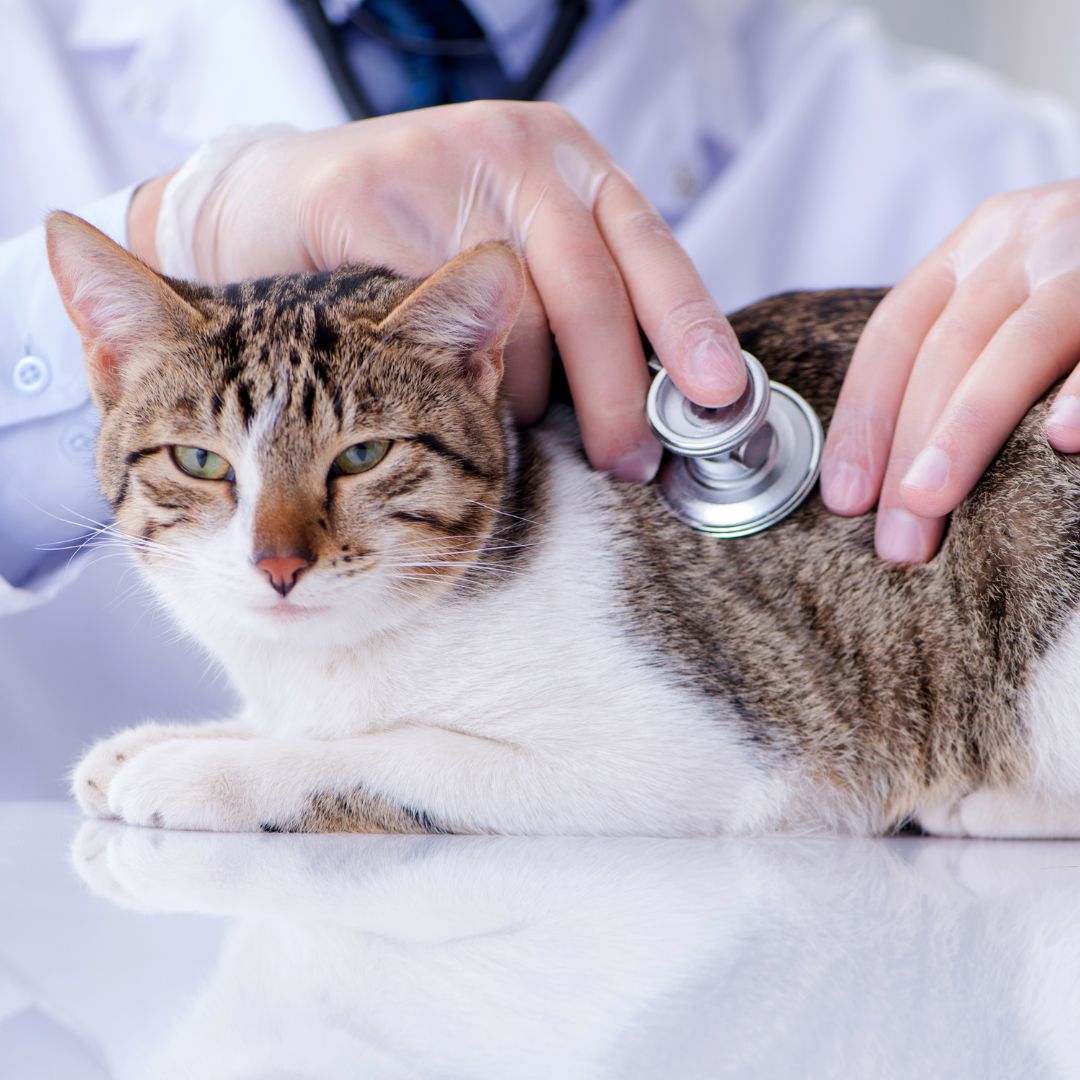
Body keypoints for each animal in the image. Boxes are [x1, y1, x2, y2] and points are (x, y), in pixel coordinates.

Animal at [46, 208, 1080, 833]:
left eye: (362, 456)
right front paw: (183, 738)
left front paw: (208, 771)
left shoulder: (688, 760)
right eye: (201, 462)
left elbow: (386, 754)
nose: (278, 564)